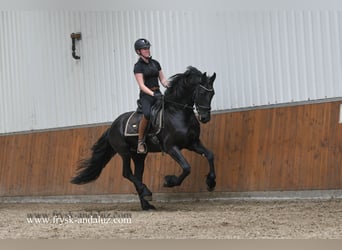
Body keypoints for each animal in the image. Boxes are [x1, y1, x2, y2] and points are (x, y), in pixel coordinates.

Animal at [71, 66, 216, 209]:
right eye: (202, 93)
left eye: (212, 94)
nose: (205, 118)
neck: (178, 112)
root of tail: (113, 126)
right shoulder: (171, 147)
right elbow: (186, 167)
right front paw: (169, 181)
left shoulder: (193, 143)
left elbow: (210, 155)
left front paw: (211, 182)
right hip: (124, 152)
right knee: (127, 173)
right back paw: (146, 193)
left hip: (139, 155)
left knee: (137, 175)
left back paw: (146, 203)